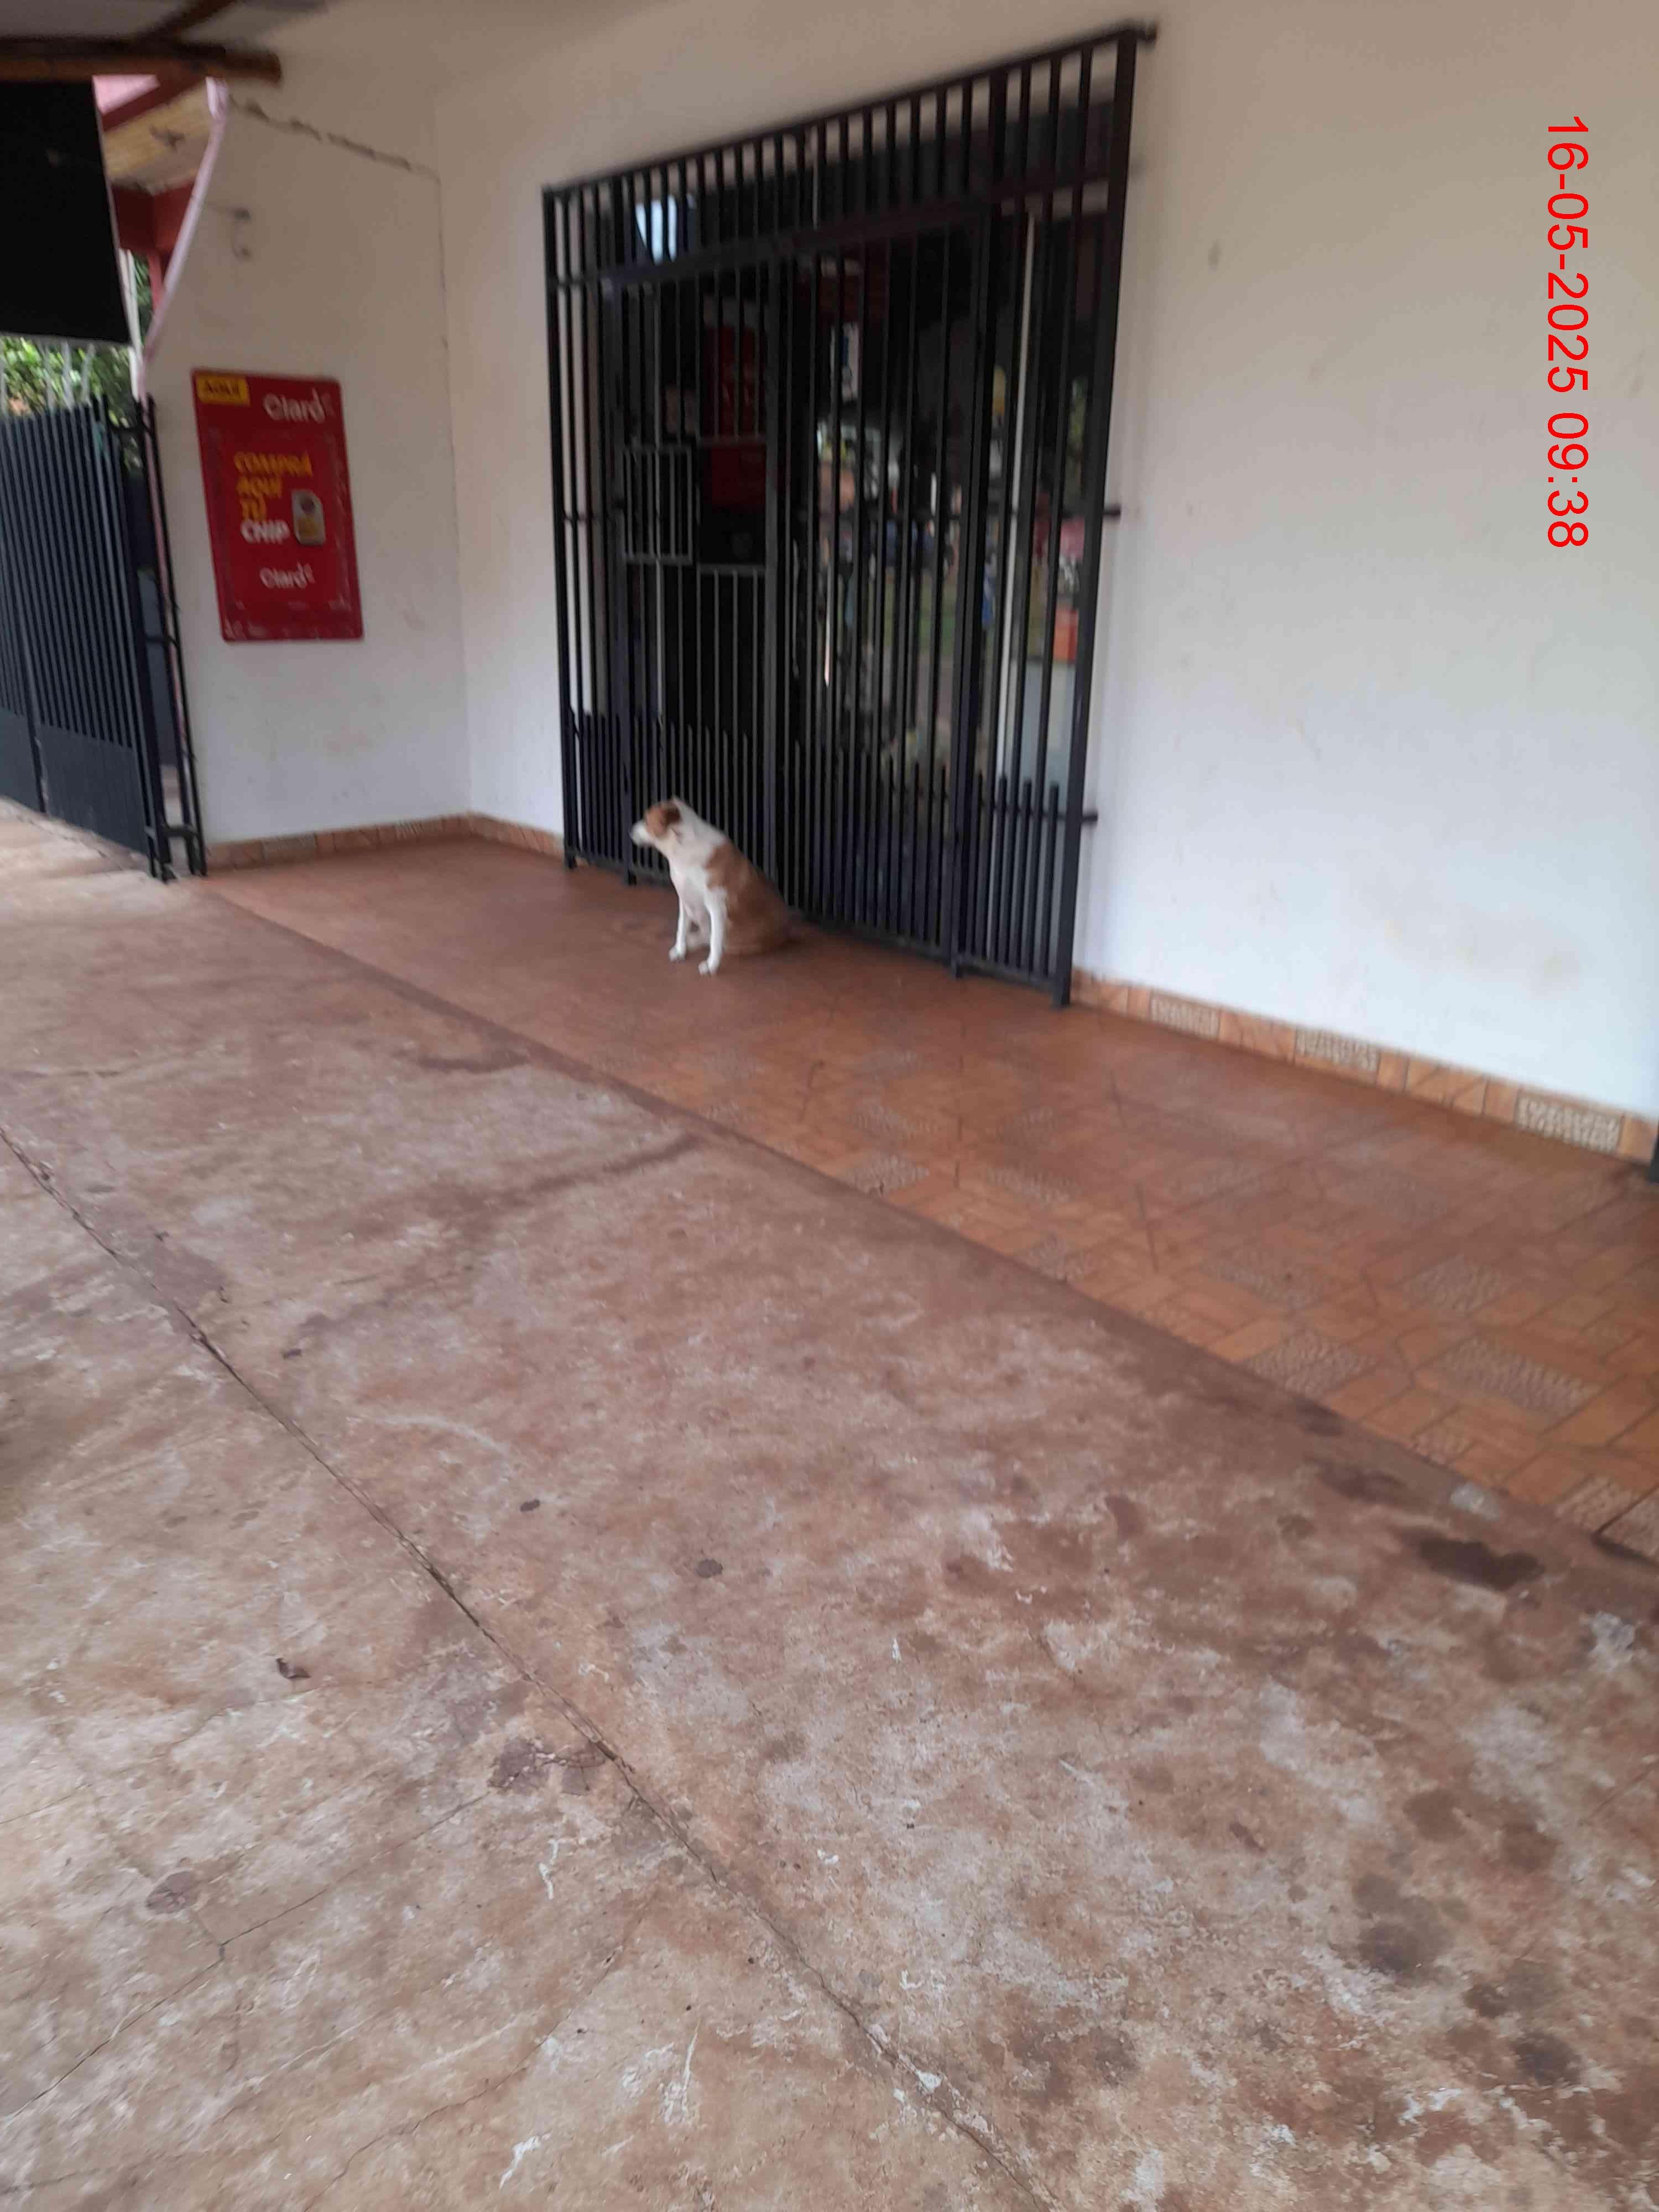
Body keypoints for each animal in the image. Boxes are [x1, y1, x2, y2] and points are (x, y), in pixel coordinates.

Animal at [629, 799, 792, 976]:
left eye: (647, 821)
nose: (630, 831)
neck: (682, 848)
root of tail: (786, 932)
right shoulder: (685, 899)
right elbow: (681, 928)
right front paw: (680, 950)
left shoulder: (716, 906)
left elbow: (715, 940)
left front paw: (711, 965)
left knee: (717, 939)